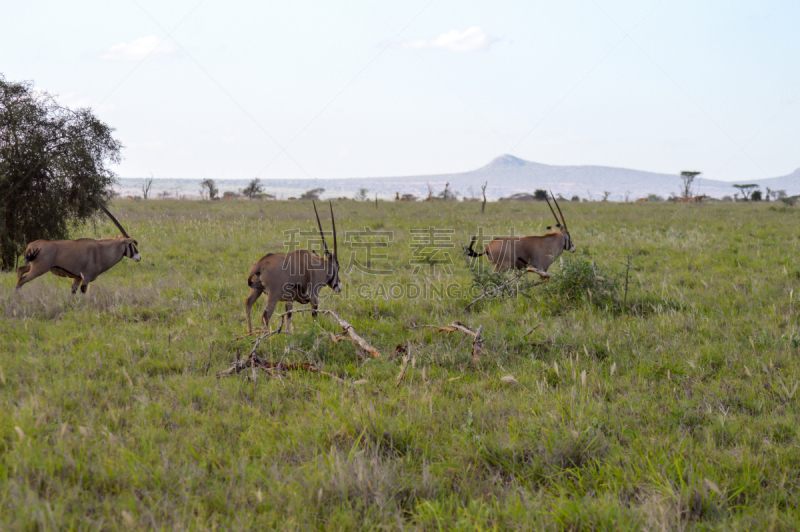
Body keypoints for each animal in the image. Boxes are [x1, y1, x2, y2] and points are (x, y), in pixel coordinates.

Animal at [245, 201, 342, 332]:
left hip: (256, 290)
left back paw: (250, 332)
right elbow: (314, 315)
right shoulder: (314, 297)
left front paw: (287, 333)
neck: (318, 266)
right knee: (265, 316)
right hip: (273, 296)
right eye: (338, 268)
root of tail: (260, 264)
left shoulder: (289, 299)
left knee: (248, 303)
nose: (339, 287)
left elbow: (288, 316)